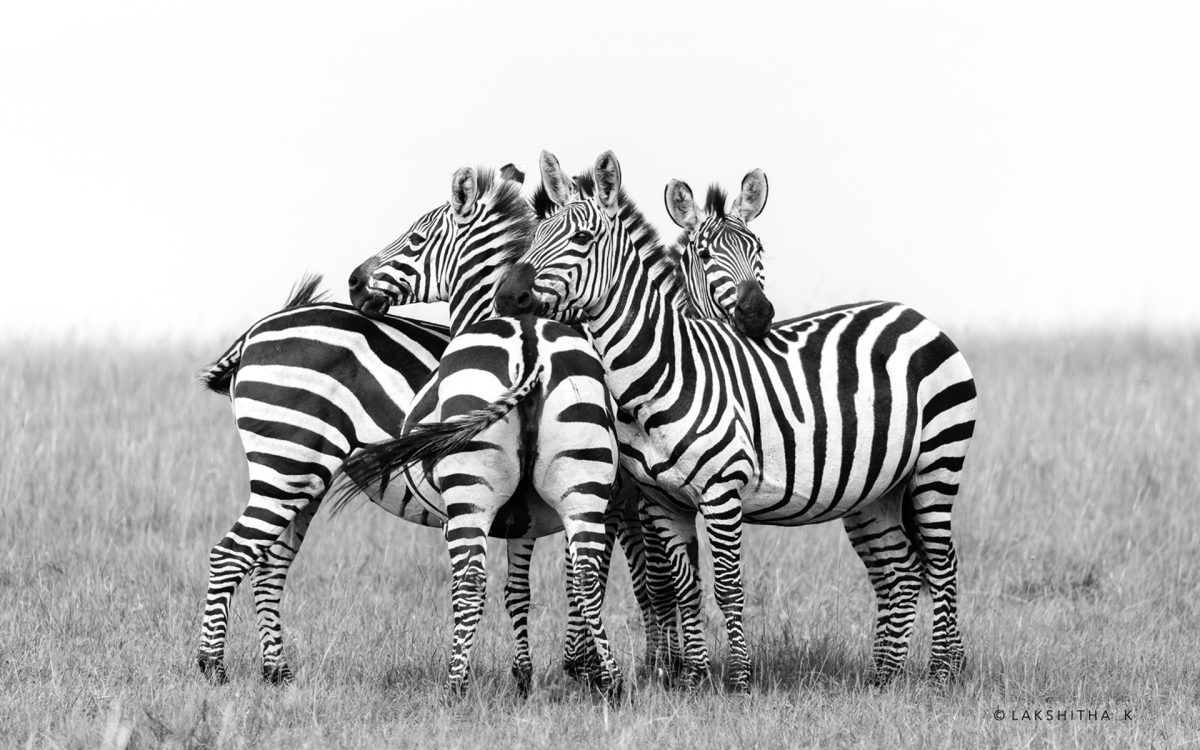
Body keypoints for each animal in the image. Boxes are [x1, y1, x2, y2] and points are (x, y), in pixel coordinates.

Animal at [498, 150, 979, 692]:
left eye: (581, 239)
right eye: (536, 235)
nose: (507, 295)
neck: (667, 368)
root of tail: (913, 313)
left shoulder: (721, 492)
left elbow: (727, 587)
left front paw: (739, 679)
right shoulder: (662, 502)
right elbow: (684, 587)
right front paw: (692, 678)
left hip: (937, 463)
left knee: (941, 563)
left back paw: (942, 672)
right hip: (877, 488)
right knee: (900, 571)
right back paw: (884, 677)